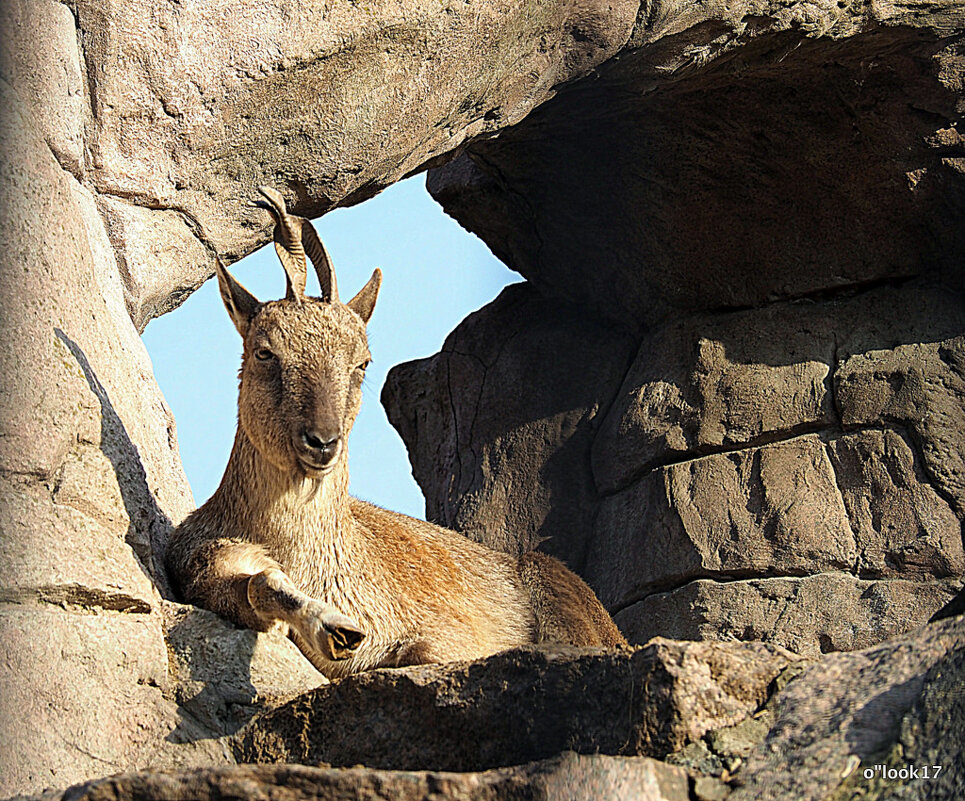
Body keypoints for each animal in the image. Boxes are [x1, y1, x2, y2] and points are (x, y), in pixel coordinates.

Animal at [166, 186, 624, 676]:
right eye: (265, 352)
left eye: (362, 363)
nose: (322, 442)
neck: (308, 553)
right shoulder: (205, 561)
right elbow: (256, 583)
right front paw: (332, 627)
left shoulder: (449, 635)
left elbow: (424, 650)